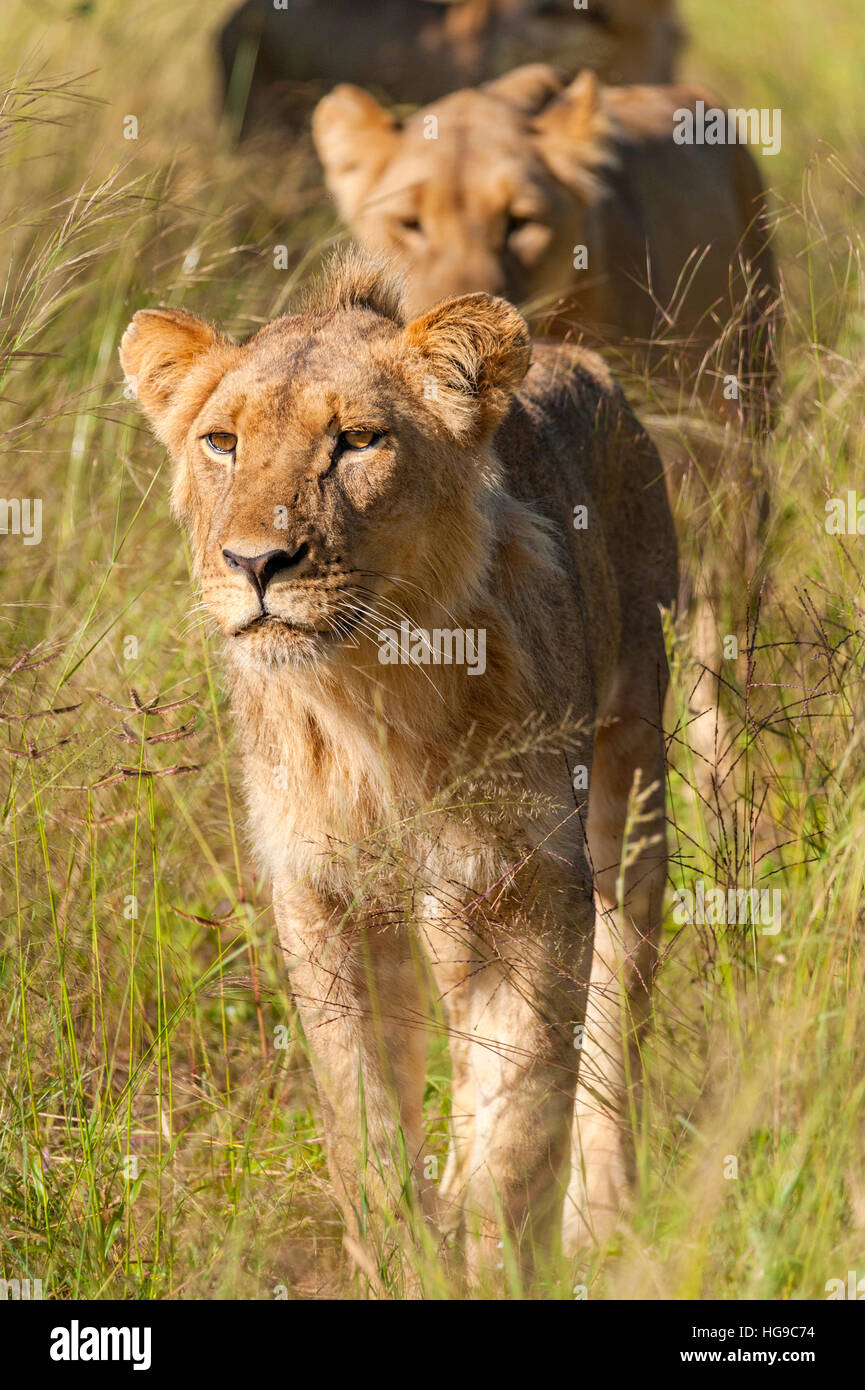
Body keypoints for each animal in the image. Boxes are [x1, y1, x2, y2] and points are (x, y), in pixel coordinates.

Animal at [118, 247, 681, 1273]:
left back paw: (603, 1211)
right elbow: (366, 1120)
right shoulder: (320, 890)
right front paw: (404, 1257)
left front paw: (502, 1266)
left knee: (616, 1007)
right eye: (221, 442)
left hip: (630, 765)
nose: (255, 562)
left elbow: (524, 1111)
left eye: (357, 441)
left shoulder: (530, 882)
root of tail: (578, 358)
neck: (371, 696)